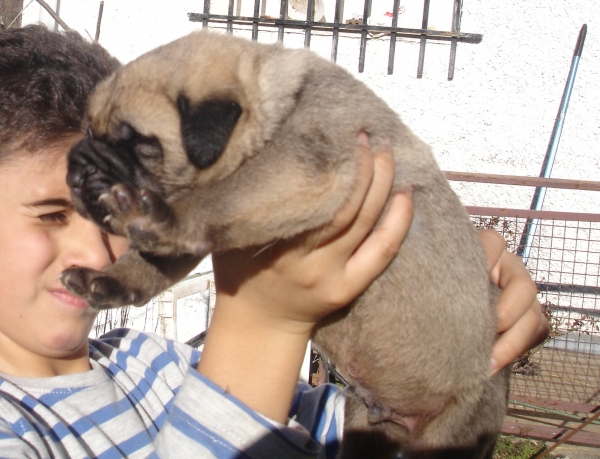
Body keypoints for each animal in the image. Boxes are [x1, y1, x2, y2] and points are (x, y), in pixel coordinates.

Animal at [63, 30, 508, 458]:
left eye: (137, 143)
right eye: (88, 133)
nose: (77, 168)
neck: (279, 105)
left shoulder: (296, 167)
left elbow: (214, 201)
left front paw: (160, 217)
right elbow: (153, 261)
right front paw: (112, 279)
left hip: (451, 429)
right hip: (365, 425)